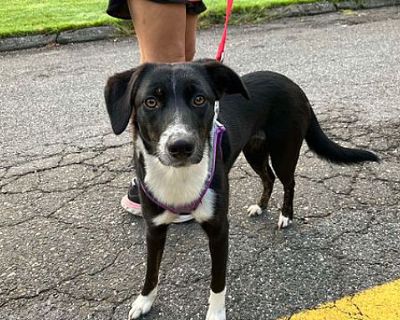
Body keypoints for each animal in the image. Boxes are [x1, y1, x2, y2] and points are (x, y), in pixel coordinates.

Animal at [104, 60, 378, 320]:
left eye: (199, 99)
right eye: (150, 102)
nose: (181, 146)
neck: (178, 176)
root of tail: (292, 84)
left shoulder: (218, 229)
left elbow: (217, 281)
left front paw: (215, 314)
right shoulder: (154, 229)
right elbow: (151, 271)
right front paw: (144, 301)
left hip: (284, 152)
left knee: (288, 182)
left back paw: (285, 215)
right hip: (254, 150)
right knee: (268, 178)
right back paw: (261, 206)